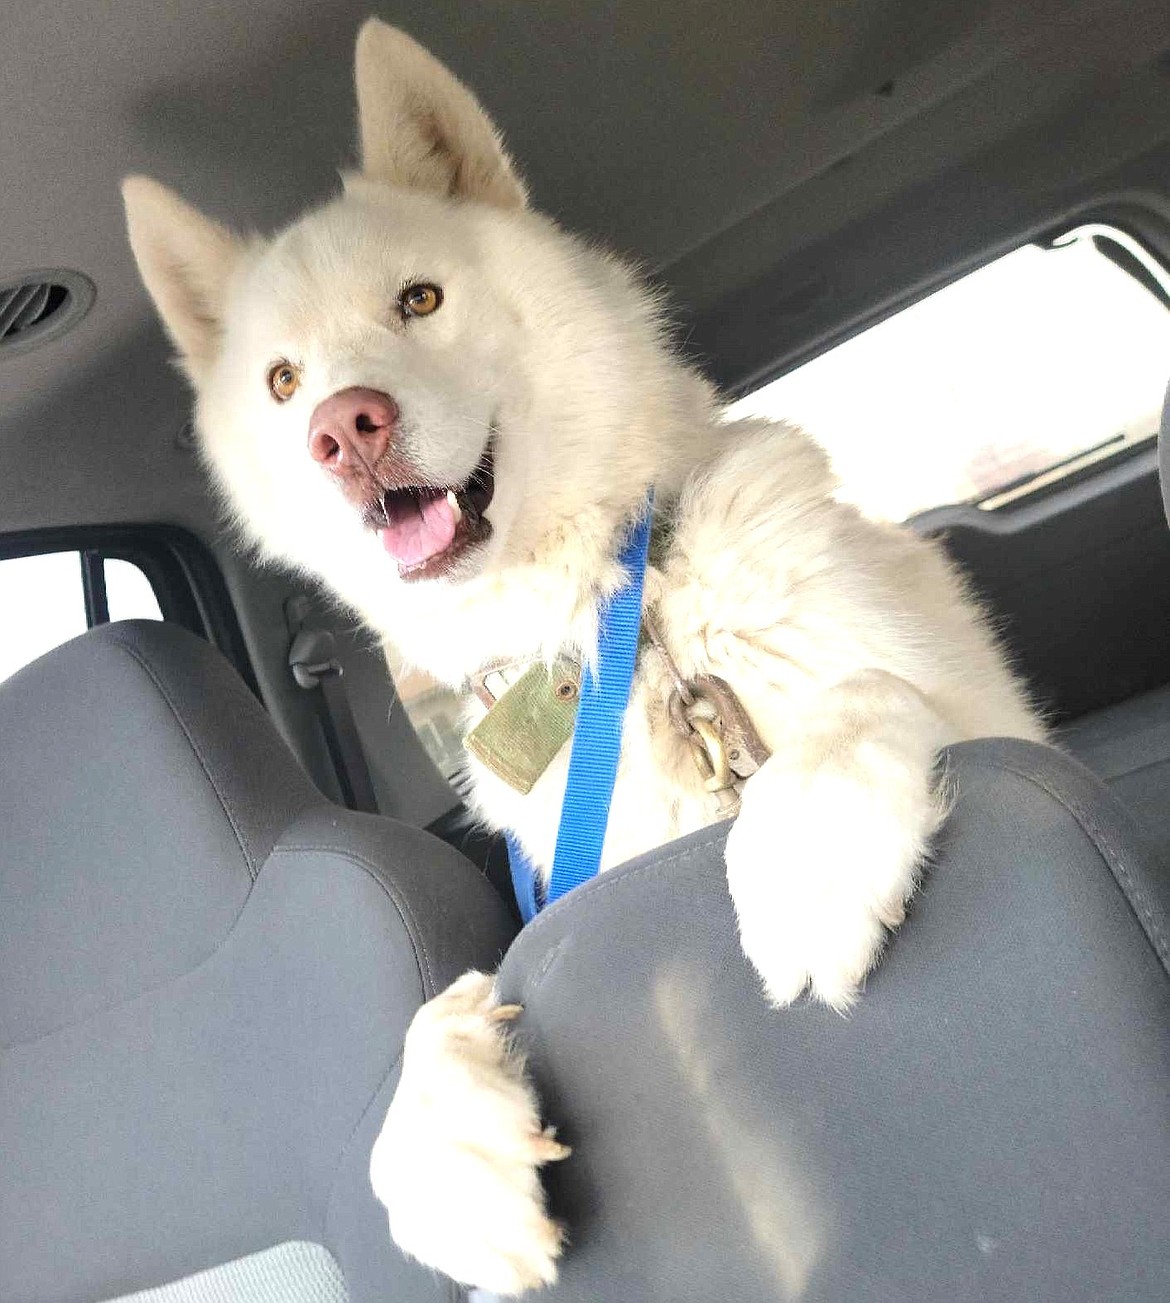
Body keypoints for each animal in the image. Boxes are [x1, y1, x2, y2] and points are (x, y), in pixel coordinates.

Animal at [123, 17, 1042, 1292]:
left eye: (420, 298)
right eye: (281, 380)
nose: (340, 429)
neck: (615, 613)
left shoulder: (991, 723)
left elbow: (863, 694)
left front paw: (806, 851)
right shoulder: (566, 894)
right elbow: (431, 1030)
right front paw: (446, 1152)